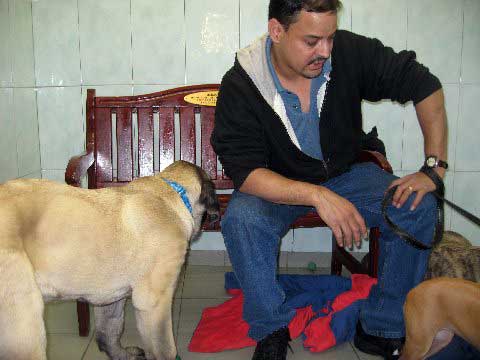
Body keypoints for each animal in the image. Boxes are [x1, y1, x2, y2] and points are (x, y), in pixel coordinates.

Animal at [0, 161, 219, 360]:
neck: (172, 193)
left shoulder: (110, 296)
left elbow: (109, 332)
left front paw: (122, 355)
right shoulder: (154, 303)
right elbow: (165, 349)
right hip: (25, 326)